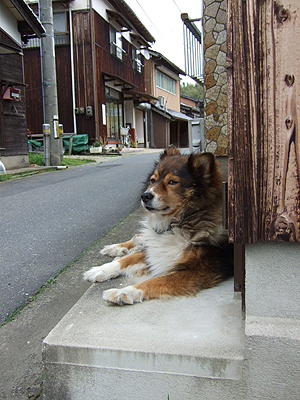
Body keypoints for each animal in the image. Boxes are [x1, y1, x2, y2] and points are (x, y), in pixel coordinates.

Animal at [83, 147, 233, 306]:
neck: (175, 224)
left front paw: (123, 292)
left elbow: (157, 281)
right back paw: (113, 248)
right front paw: (99, 270)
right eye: (152, 180)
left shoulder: (199, 270)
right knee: (139, 238)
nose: (145, 196)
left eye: (172, 182)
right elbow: (127, 259)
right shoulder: (156, 250)